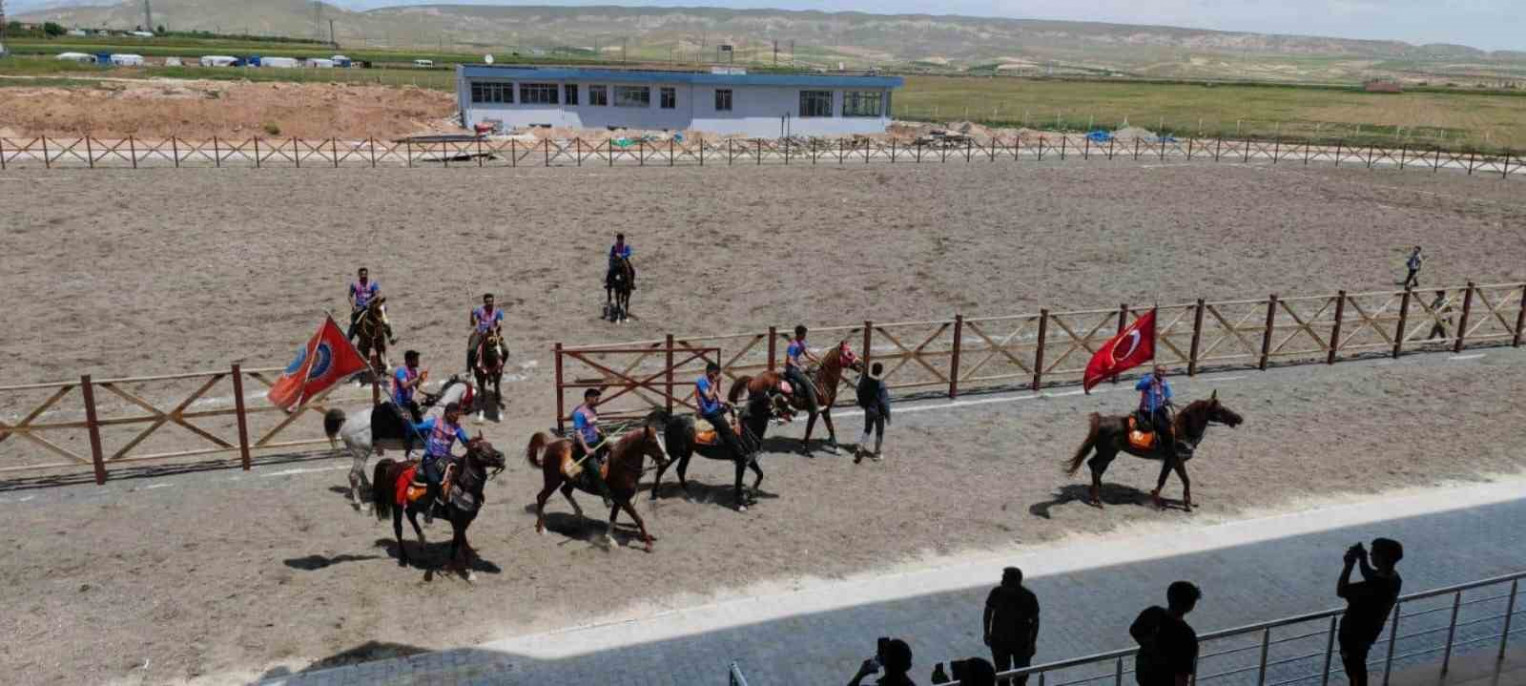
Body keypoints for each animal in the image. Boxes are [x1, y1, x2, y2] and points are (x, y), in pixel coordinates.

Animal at [317, 371, 470, 512]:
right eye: (471, 391)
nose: (469, 410)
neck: (437, 413)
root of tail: (346, 421)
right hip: (361, 453)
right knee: (353, 476)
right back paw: (360, 504)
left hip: (362, 453)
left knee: (359, 472)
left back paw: (368, 488)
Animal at [524, 411, 668, 551]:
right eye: (653, 442)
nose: (666, 458)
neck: (621, 464)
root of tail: (550, 444)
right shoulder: (623, 500)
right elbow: (638, 519)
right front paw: (648, 543)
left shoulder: (619, 499)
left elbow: (613, 517)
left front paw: (610, 539)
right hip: (552, 480)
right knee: (541, 497)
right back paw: (542, 528)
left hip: (570, 481)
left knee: (565, 491)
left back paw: (579, 515)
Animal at [653, 390, 793, 509]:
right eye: (774, 403)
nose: (792, 412)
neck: (745, 429)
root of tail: (671, 419)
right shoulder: (740, 462)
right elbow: (738, 483)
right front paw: (740, 503)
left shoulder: (749, 459)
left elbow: (760, 474)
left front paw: (750, 494)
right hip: (674, 452)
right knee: (661, 468)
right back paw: (654, 495)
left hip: (687, 452)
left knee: (680, 470)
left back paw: (690, 495)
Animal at [732, 341, 866, 454]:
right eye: (849, 353)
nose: (861, 364)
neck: (823, 382)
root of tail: (752, 379)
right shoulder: (816, 411)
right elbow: (811, 429)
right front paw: (806, 449)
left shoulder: (824, 409)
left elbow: (828, 427)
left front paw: (835, 447)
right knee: (744, 417)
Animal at [1068, 390, 1245, 509]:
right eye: (1221, 409)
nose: (1239, 418)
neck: (1182, 430)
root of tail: (1101, 420)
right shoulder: (1176, 460)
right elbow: (1184, 480)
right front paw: (1185, 504)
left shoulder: (1170, 461)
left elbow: (1164, 479)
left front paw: (1169, 500)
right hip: (1108, 453)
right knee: (1096, 467)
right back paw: (1097, 500)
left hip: (1107, 453)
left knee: (1093, 465)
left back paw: (1095, 492)